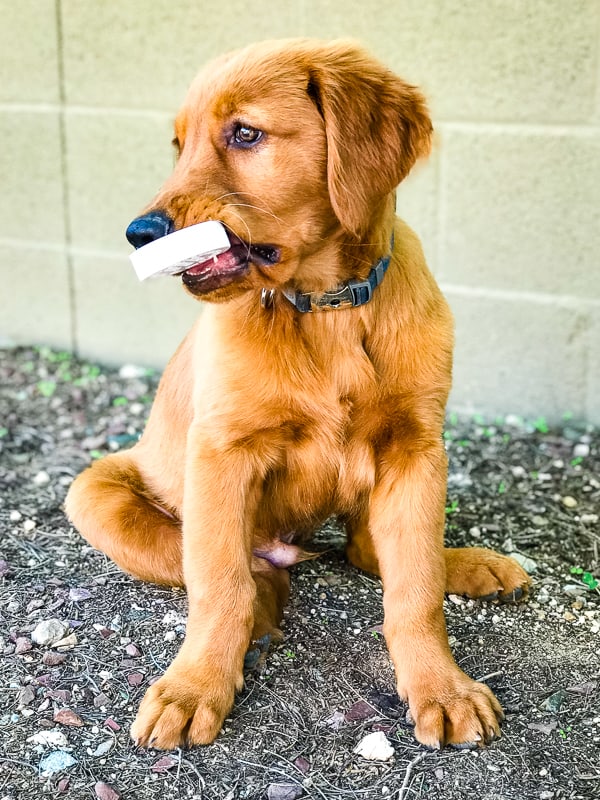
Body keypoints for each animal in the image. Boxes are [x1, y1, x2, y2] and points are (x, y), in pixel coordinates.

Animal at [63, 37, 528, 752]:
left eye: (245, 133)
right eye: (178, 144)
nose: (139, 234)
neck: (327, 307)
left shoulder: (416, 450)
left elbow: (415, 586)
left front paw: (441, 687)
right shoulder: (220, 452)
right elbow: (218, 584)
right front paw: (194, 688)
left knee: (371, 552)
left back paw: (473, 566)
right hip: (94, 494)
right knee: (243, 573)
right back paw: (256, 617)